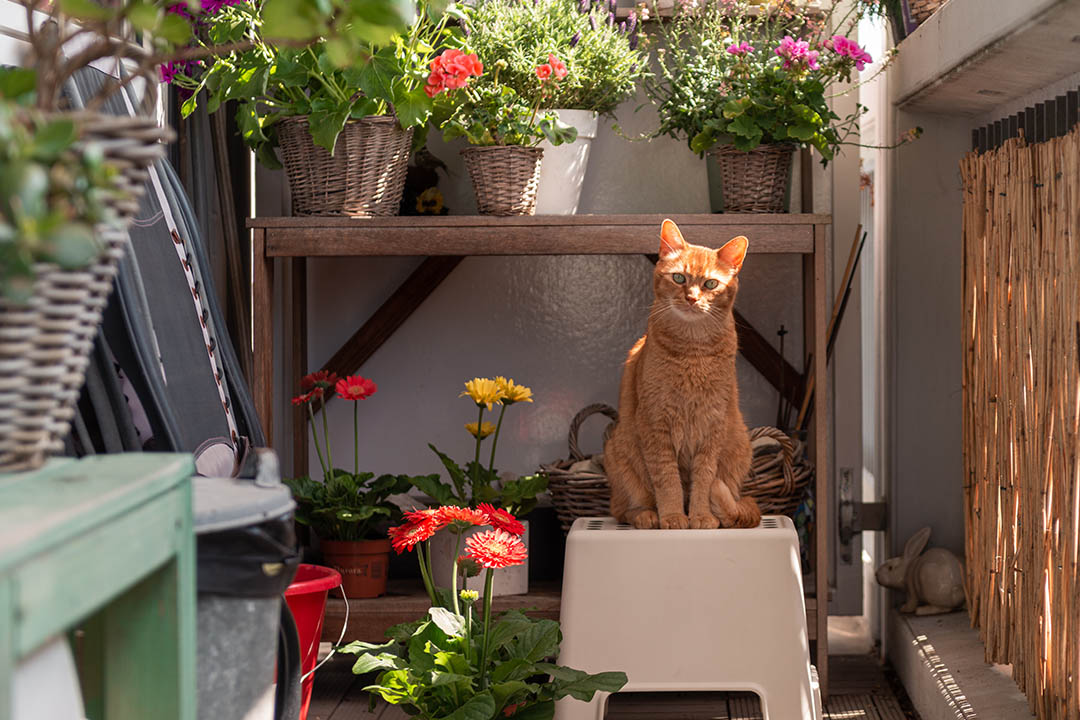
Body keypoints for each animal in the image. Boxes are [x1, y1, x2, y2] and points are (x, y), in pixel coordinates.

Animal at [609, 220, 760, 528]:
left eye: (710, 283)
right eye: (679, 278)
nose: (691, 298)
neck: (693, 351)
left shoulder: (712, 426)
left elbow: (704, 481)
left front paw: (700, 516)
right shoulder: (655, 424)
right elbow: (668, 482)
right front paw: (673, 516)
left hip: (740, 445)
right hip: (618, 452)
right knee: (621, 509)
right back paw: (647, 516)